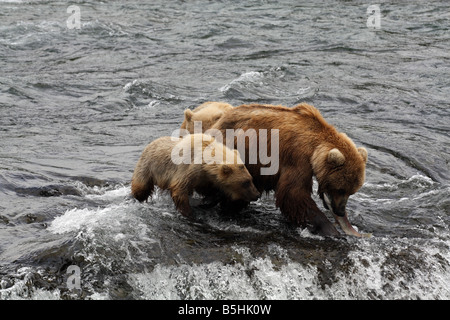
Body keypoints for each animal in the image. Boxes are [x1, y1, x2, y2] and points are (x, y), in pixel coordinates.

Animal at [130, 132, 260, 218]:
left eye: (251, 179)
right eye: (245, 183)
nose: (257, 194)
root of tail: (150, 143)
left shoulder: (204, 177)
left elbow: (207, 190)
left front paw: (209, 200)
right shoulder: (189, 169)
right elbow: (179, 188)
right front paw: (188, 212)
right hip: (148, 166)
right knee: (141, 186)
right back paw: (137, 197)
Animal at [212, 103, 370, 238]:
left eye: (352, 191)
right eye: (341, 189)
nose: (340, 211)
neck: (315, 148)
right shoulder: (298, 157)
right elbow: (293, 193)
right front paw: (329, 229)